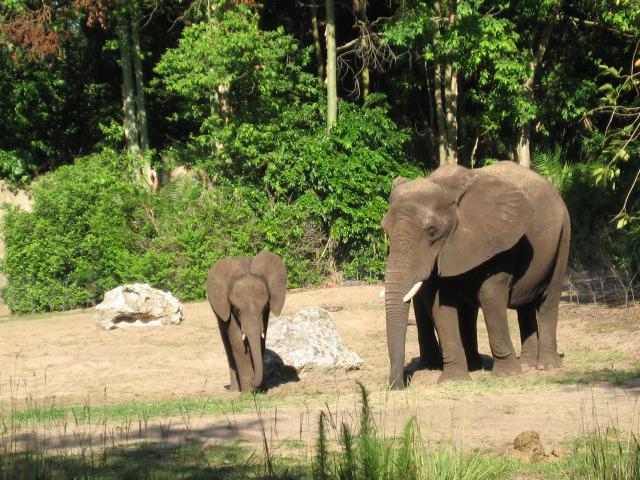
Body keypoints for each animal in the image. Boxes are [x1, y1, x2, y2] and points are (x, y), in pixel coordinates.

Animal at [207, 251, 287, 392]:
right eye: (237, 310)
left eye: (265, 307)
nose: (251, 380)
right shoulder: (228, 308)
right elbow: (238, 342)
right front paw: (248, 392)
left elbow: (260, 341)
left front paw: (261, 390)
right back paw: (234, 390)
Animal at [382, 161, 570, 389]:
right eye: (386, 230)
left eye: (432, 231)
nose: (398, 386)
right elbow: (440, 304)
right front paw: (454, 380)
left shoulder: (495, 239)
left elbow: (490, 295)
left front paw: (506, 375)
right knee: (523, 306)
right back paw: (520, 364)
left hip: (563, 233)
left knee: (549, 299)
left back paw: (546, 367)